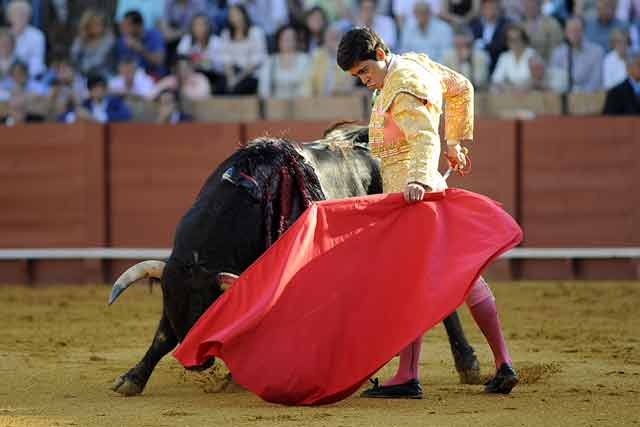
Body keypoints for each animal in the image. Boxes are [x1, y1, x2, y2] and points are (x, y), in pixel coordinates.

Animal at [110, 123, 480, 398]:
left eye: (209, 307)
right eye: (171, 302)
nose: (194, 363)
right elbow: (163, 334)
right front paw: (132, 378)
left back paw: (467, 364)